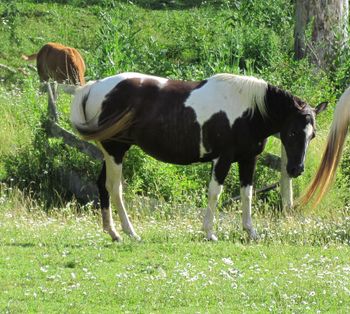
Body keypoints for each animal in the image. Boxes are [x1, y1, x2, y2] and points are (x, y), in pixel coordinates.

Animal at [67, 72, 326, 242]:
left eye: (312, 135)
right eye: (292, 132)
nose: (296, 169)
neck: (248, 110)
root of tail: (95, 87)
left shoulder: (248, 159)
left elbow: (247, 194)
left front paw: (250, 231)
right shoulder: (223, 159)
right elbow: (215, 193)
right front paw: (209, 232)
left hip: (111, 153)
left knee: (103, 185)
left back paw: (113, 233)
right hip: (116, 151)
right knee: (114, 187)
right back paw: (131, 232)